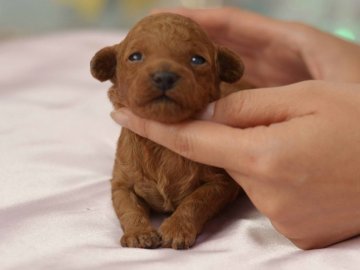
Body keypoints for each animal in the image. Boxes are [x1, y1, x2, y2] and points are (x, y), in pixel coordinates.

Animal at [90, 12, 245, 249]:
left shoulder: (222, 182)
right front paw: (139, 233)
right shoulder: (121, 182)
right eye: (135, 57)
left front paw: (177, 228)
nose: (164, 76)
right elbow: (128, 207)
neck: (161, 146)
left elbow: (197, 200)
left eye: (197, 60)